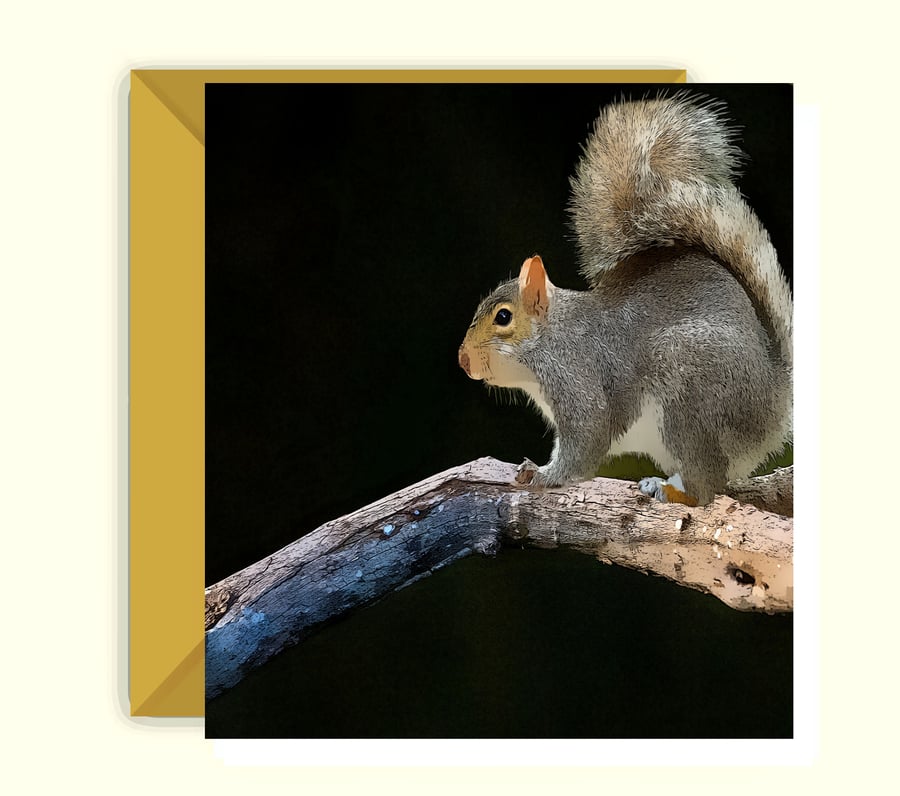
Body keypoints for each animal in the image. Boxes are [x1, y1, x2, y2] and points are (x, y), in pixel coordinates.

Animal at [457, 94, 793, 506]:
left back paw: (673, 491)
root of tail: (773, 407)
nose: (463, 360)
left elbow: (585, 444)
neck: (550, 338)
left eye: (503, 317)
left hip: (690, 394)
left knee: (707, 485)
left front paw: (545, 474)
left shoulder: (579, 378)